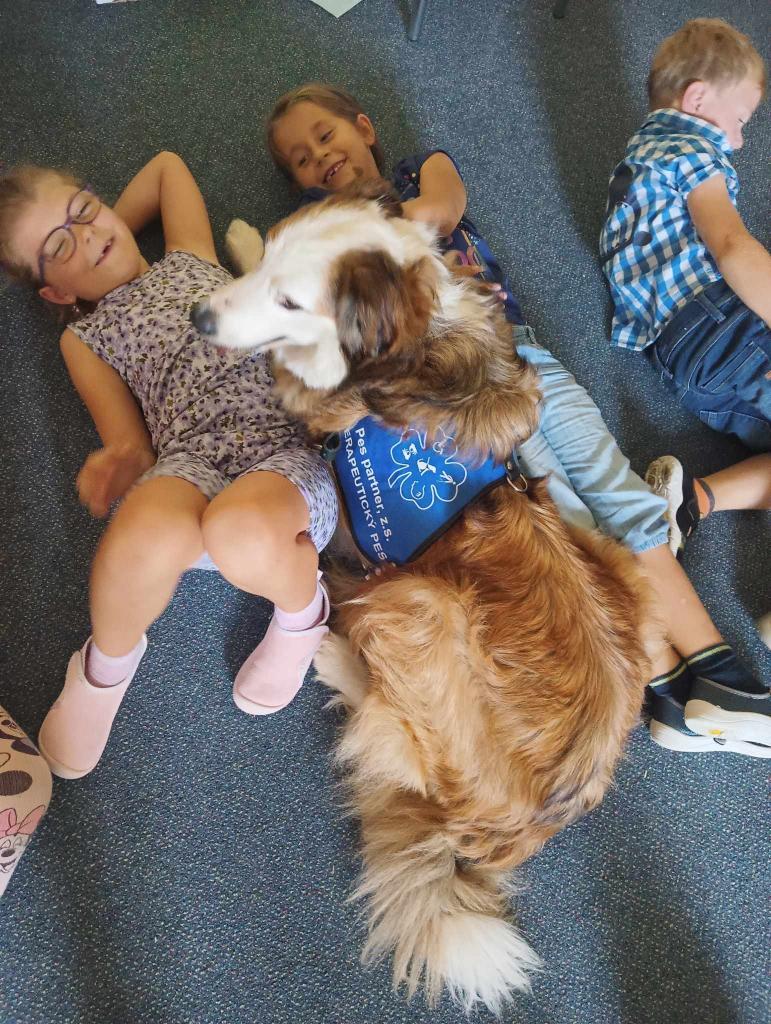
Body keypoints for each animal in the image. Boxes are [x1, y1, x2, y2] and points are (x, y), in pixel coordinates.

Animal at [192, 183, 653, 1014]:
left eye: (290, 299)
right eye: (273, 261)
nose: (199, 320)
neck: (408, 346)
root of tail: (491, 835)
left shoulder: (316, 399)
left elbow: (284, 366)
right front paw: (239, 236)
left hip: (421, 602)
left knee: (380, 714)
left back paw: (329, 653)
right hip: (614, 563)